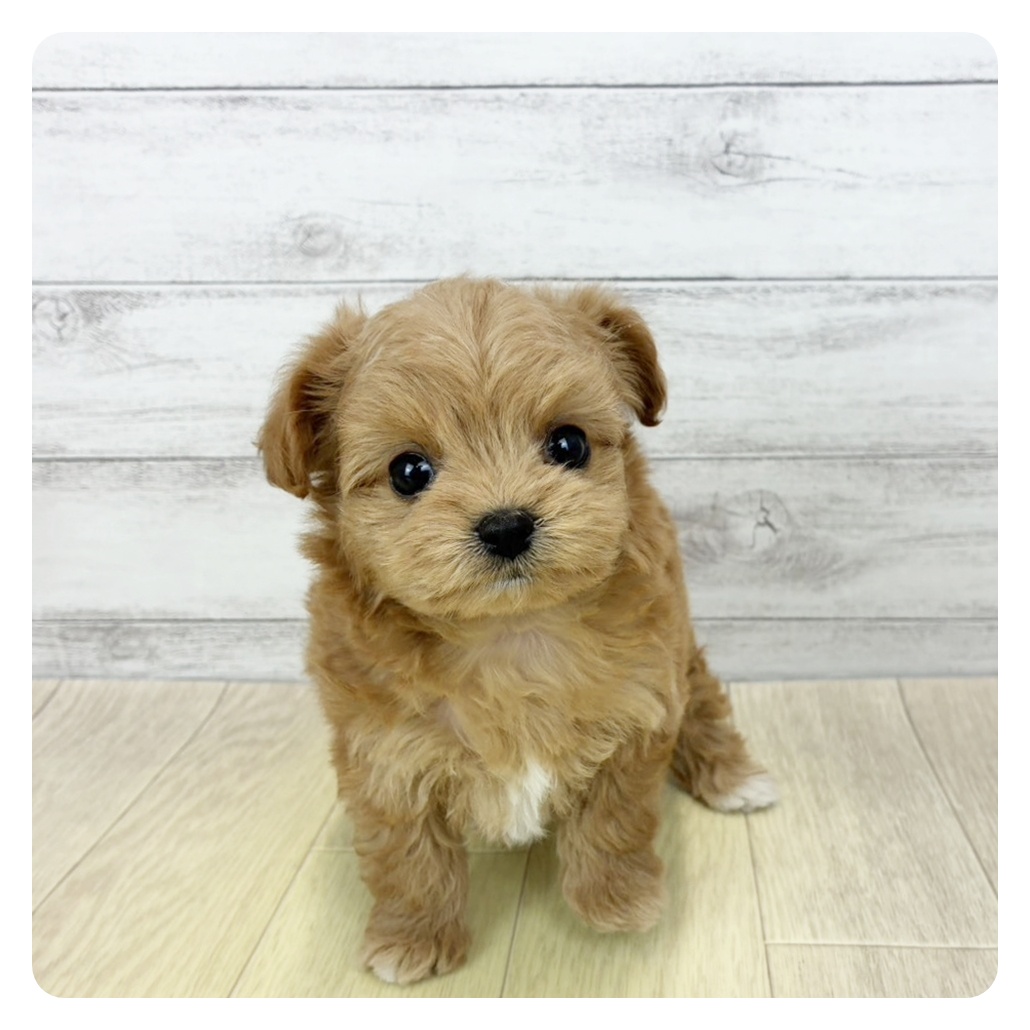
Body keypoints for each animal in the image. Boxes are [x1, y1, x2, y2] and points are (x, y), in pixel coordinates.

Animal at [257, 277, 776, 985]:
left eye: (568, 444)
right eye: (408, 472)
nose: (506, 525)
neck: (509, 632)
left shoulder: (636, 709)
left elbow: (618, 815)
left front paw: (616, 900)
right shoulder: (384, 751)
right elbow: (407, 852)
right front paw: (413, 938)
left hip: (678, 651)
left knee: (702, 703)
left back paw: (733, 778)